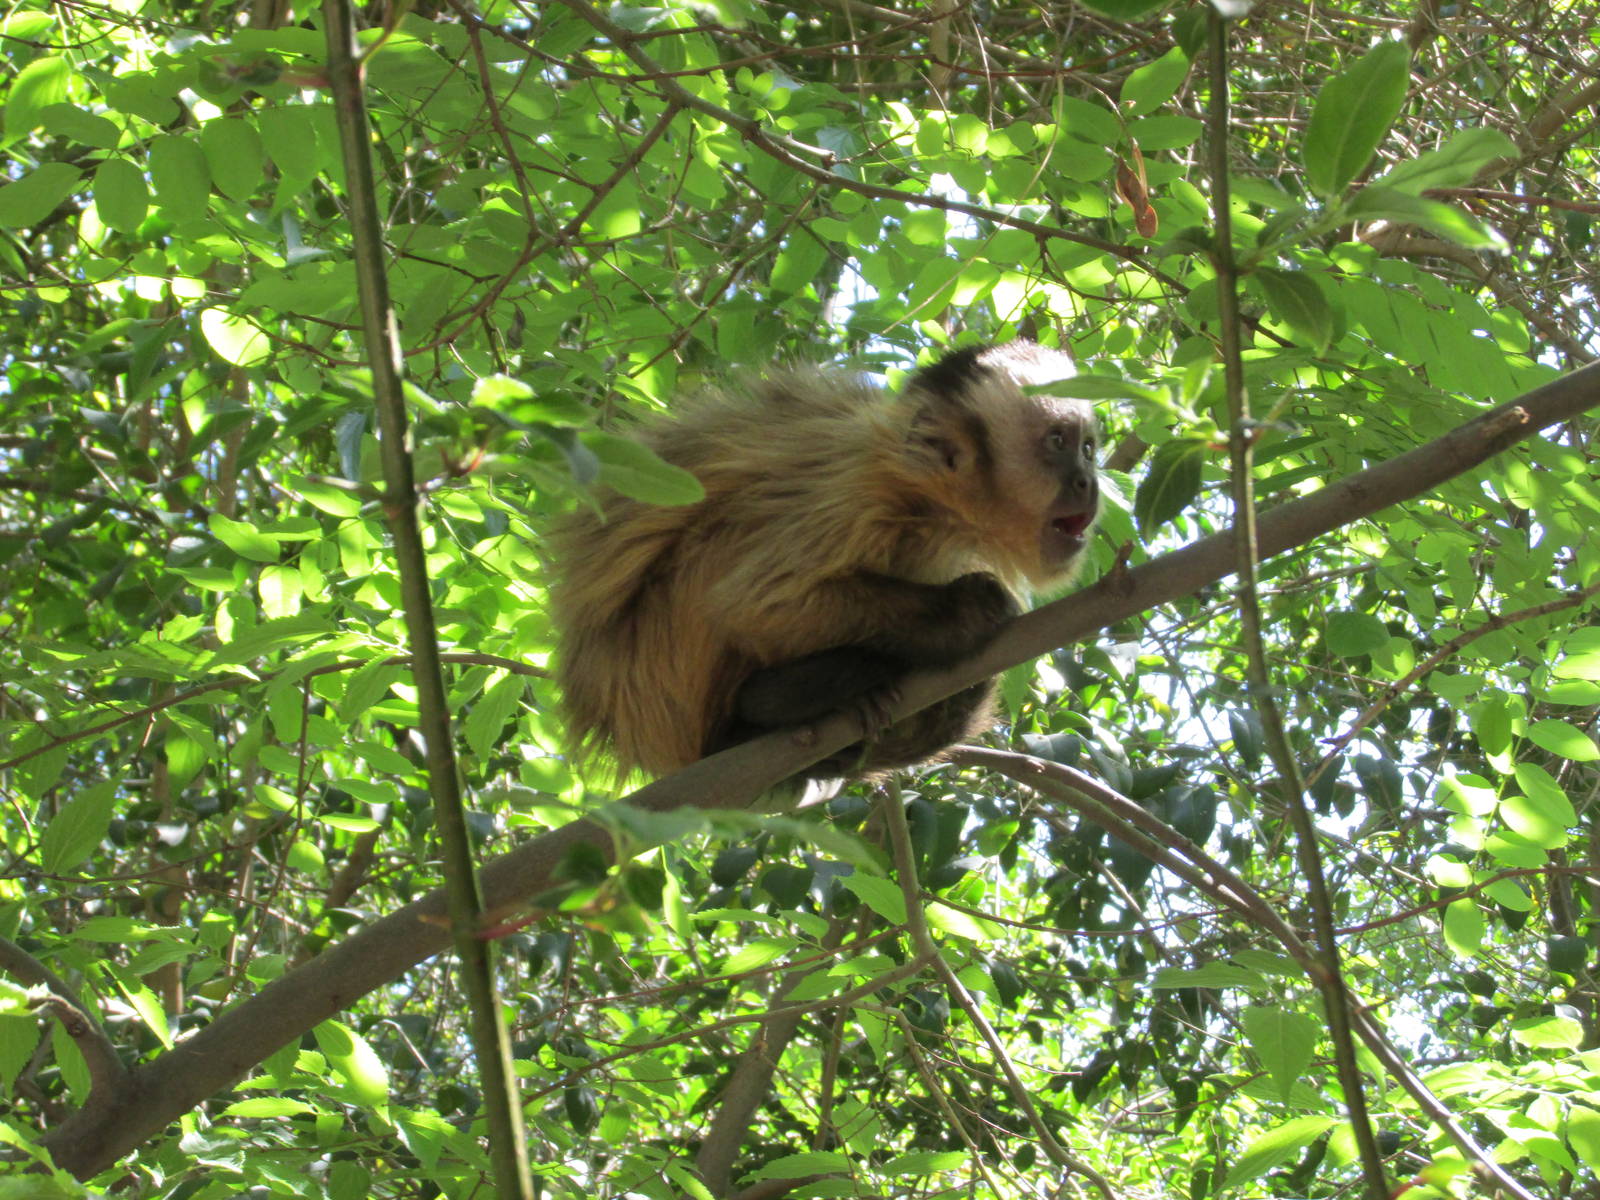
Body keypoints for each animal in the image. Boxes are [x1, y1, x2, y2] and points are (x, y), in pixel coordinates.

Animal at [548, 341, 1100, 782]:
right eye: (1057, 442)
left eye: (1089, 449)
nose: (1088, 481)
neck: (929, 504)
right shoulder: (860, 488)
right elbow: (756, 605)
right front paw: (966, 614)